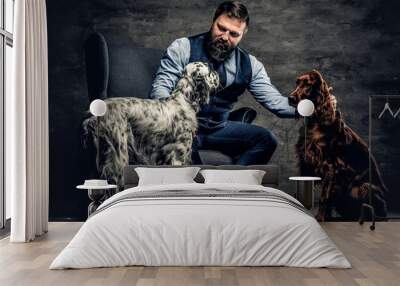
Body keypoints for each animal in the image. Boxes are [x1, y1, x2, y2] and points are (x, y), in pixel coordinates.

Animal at [81, 62, 219, 187]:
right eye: (210, 71)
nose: (217, 72)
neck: (184, 99)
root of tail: (95, 116)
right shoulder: (179, 154)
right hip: (120, 157)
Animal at [290, 70, 386, 221]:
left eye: (308, 85)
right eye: (297, 83)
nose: (290, 98)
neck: (317, 121)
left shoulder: (330, 166)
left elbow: (324, 198)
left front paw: (320, 219)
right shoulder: (305, 161)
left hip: (362, 187)